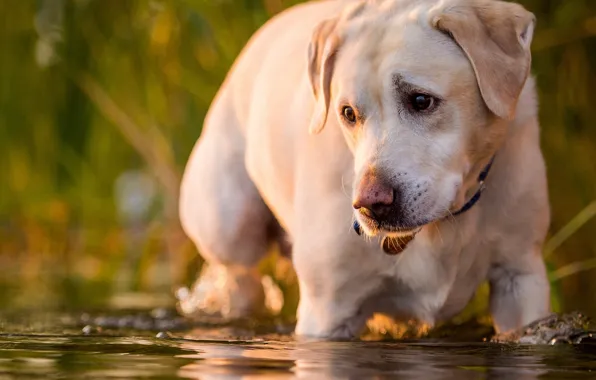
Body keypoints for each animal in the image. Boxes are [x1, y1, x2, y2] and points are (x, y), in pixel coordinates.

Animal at [179, 0, 552, 338]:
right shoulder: (327, 312)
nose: (370, 205)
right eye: (348, 113)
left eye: (421, 100)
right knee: (241, 274)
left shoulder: (521, 278)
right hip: (228, 223)